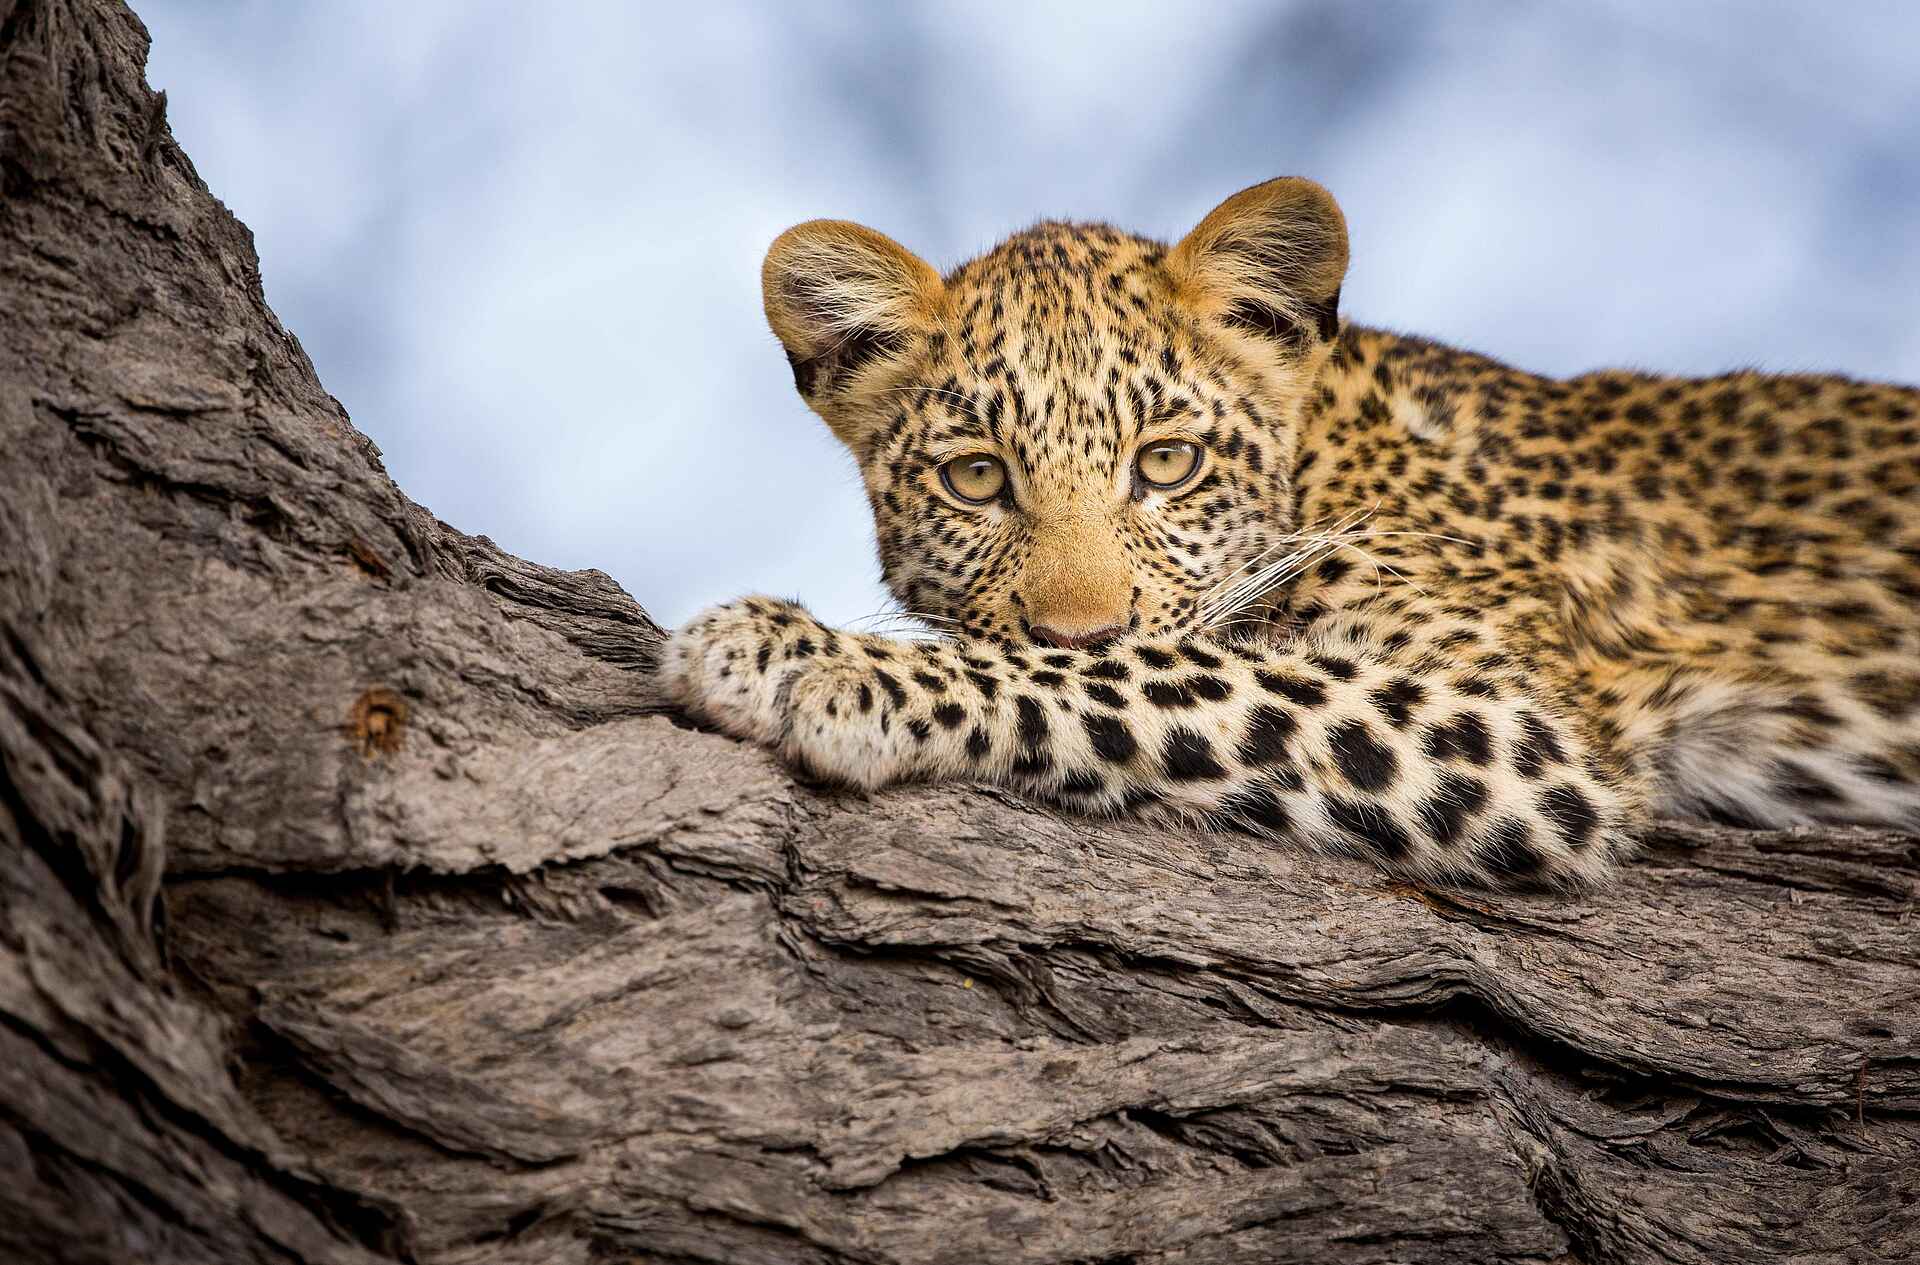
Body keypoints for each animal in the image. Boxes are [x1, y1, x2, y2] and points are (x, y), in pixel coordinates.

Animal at [661, 176, 1920, 888]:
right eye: (977, 478)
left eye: (1166, 463)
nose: (1077, 624)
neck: (1319, 457)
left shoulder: (1524, 728)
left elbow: (1166, 672)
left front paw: (811, 655)